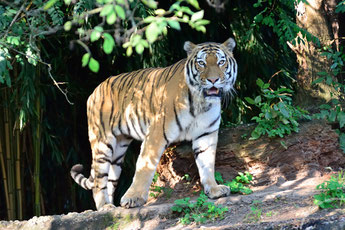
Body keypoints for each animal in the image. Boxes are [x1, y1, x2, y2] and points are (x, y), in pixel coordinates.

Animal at [70, 37, 236, 210]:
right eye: (201, 63)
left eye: (221, 62)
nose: (213, 80)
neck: (202, 103)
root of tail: (95, 90)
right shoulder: (156, 134)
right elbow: (144, 167)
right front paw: (133, 198)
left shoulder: (206, 134)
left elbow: (207, 163)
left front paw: (214, 189)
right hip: (102, 143)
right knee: (98, 180)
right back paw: (105, 207)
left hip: (118, 150)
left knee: (110, 179)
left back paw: (111, 206)